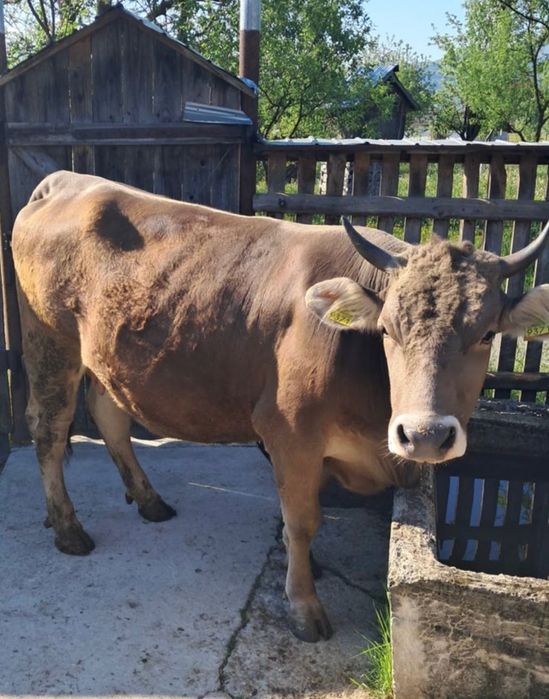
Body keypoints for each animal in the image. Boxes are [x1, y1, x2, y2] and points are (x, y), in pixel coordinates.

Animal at [12, 171, 549, 642]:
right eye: (387, 330)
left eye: (487, 334)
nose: (425, 435)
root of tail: (66, 181)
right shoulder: (290, 433)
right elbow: (303, 521)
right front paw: (304, 607)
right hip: (50, 341)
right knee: (49, 428)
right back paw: (68, 527)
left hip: (108, 354)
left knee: (109, 416)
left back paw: (149, 500)